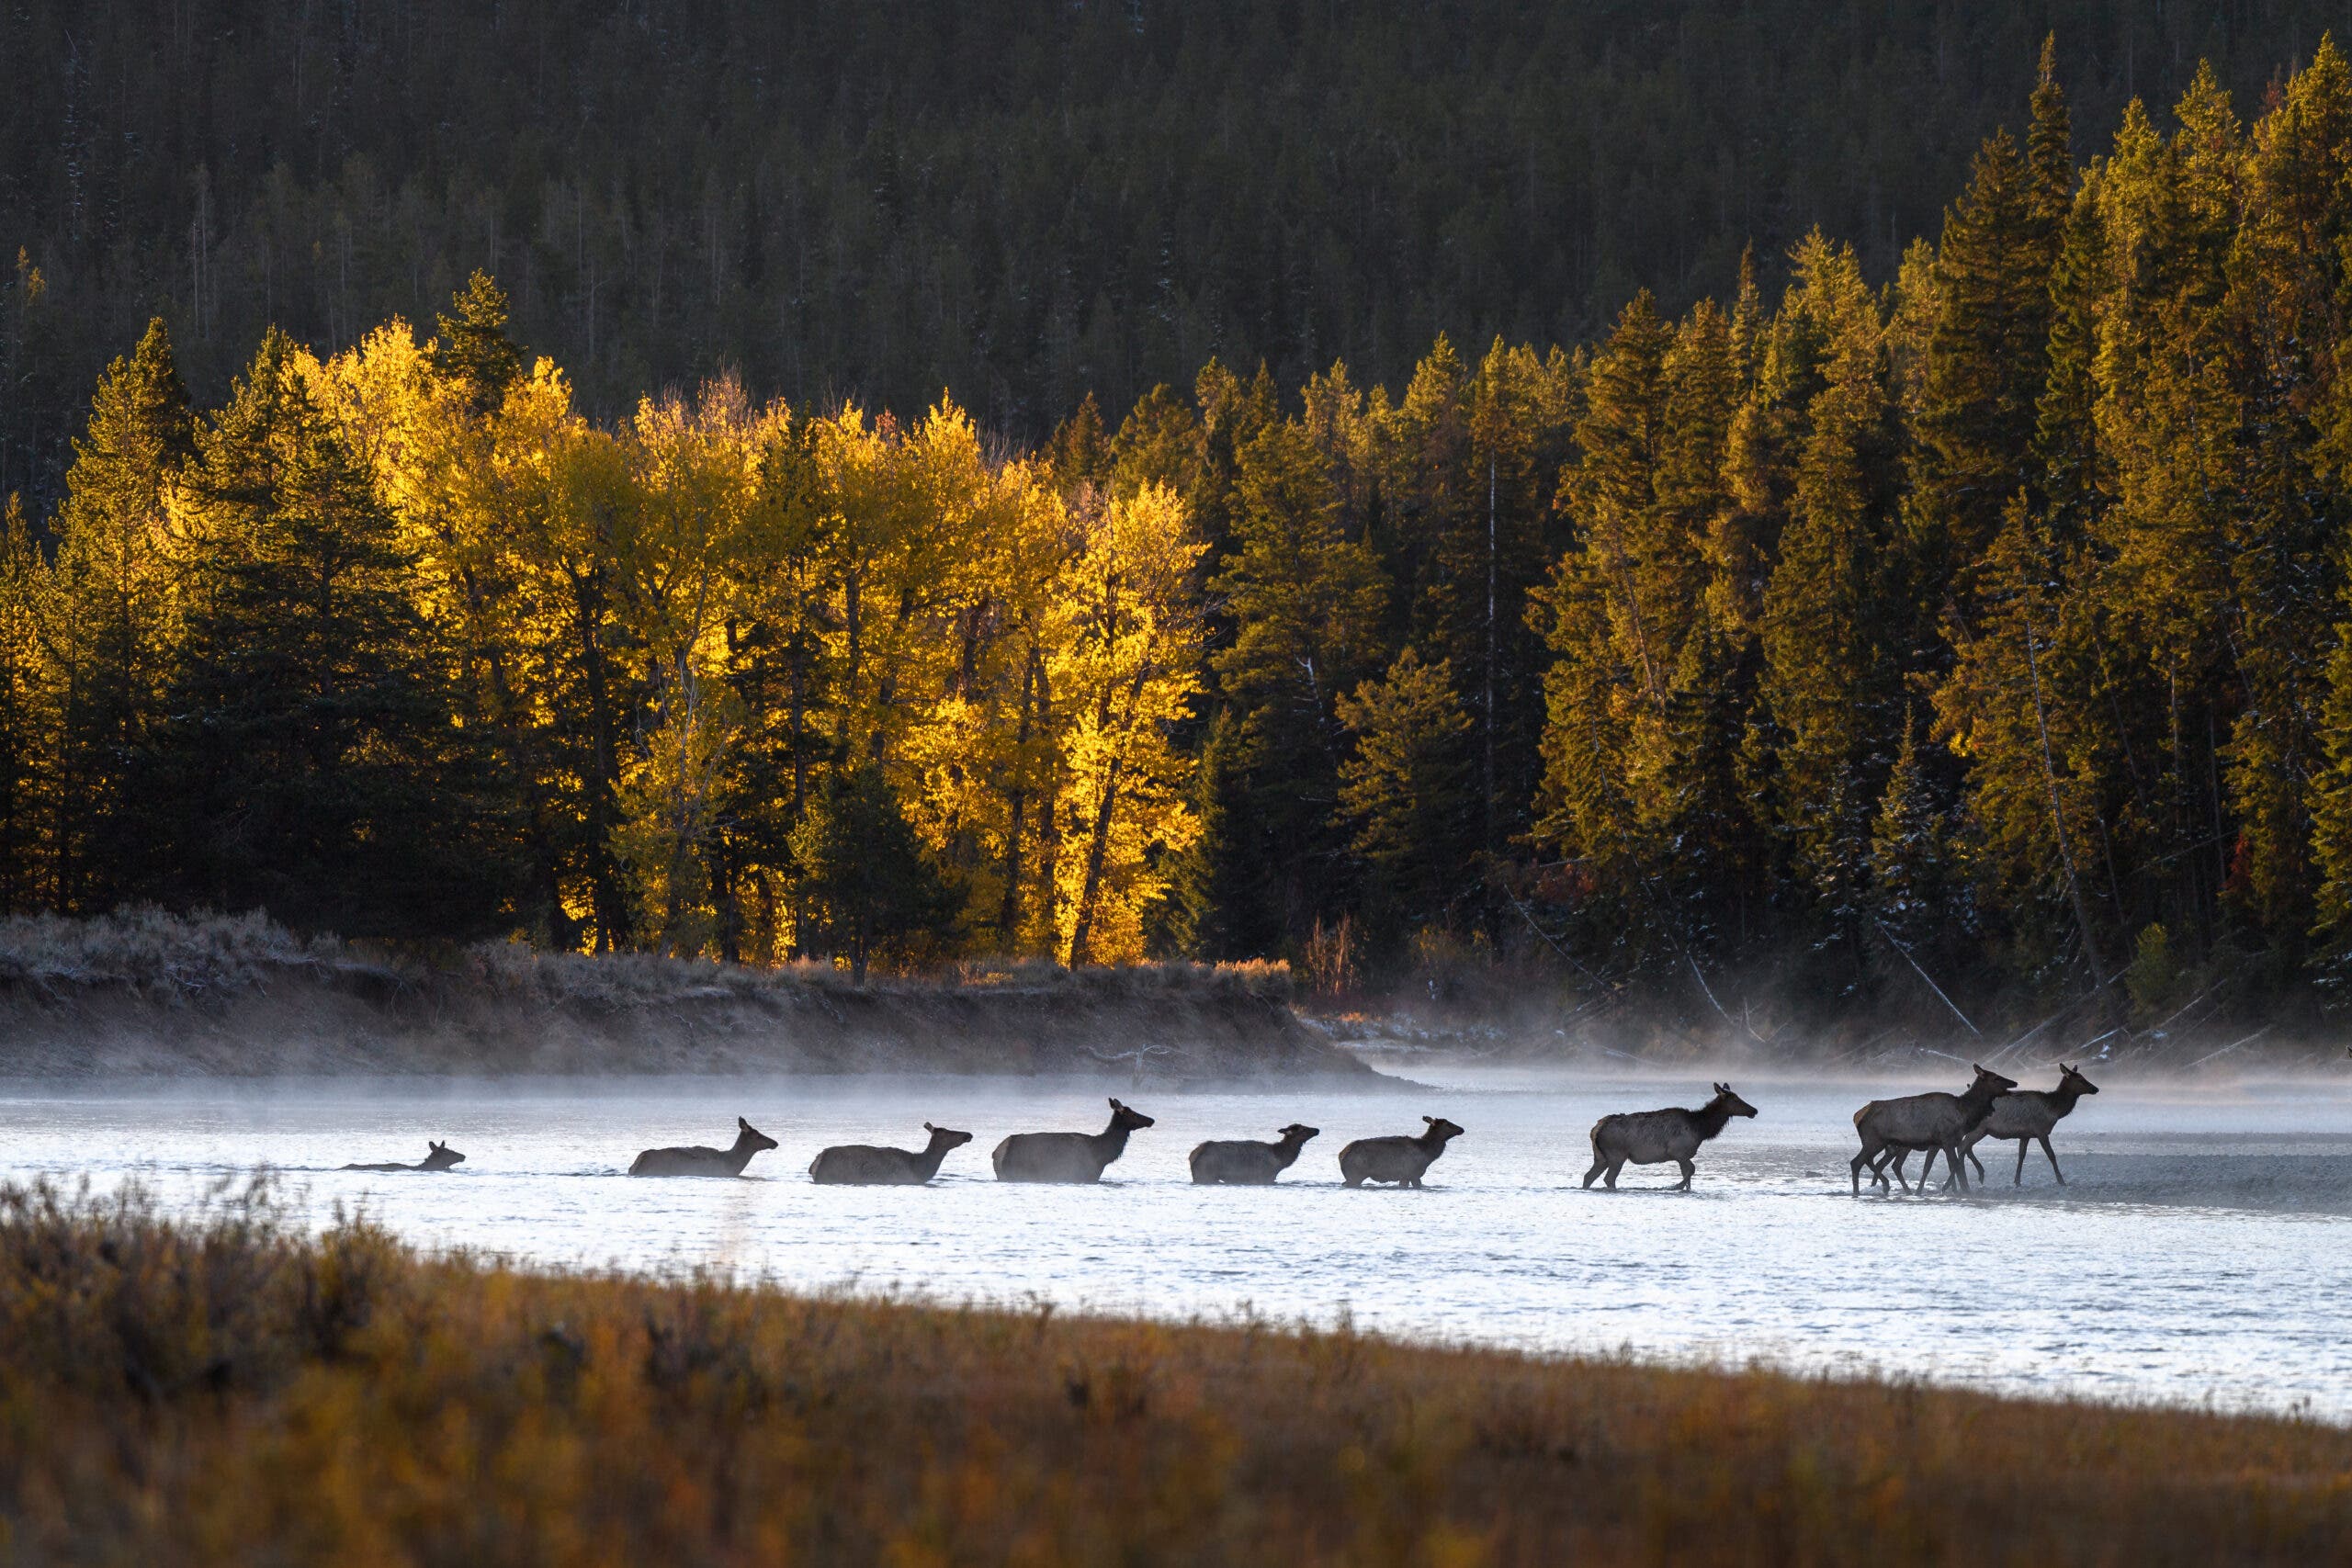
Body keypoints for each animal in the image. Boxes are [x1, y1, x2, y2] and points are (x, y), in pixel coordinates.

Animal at [991, 1099, 1154, 1183]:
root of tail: (996, 1153)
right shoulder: (1083, 1174)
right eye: (1133, 1114)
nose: (1151, 1120)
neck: (1101, 1155)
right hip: (1012, 1172)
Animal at [1189, 1123, 1320, 1185]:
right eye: (1303, 1129)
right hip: (1205, 1174)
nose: (1317, 1130)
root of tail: (1193, 1155)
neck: (1280, 1159)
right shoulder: (1265, 1176)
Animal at [1338, 1116, 1464, 1188]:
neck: (1428, 1154)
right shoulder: (1410, 1174)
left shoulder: (1409, 1176)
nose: (1462, 1129)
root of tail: (1341, 1155)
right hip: (1354, 1175)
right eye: (1447, 1124)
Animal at [1583, 1083, 1757, 1191]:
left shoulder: (1683, 1156)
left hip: (1601, 1157)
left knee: (1589, 1176)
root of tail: (1595, 1130)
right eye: (1735, 1099)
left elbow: (1688, 1175)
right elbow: (1691, 1170)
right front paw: (1675, 1186)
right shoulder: (1679, 1152)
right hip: (1617, 1155)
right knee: (1608, 1178)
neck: (1701, 1129)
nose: (1754, 1110)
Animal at [1849, 1064, 2016, 1195]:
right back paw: (1862, 1191)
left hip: (1881, 1143)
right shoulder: (1947, 1139)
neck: (1965, 1114)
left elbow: (1941, 1166)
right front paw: (1947, 1188)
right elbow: (1956, 1165)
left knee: (1870, 1161)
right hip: (1874, 1140)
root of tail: (1857, 1115)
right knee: (1857, 1162)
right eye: (1996, 1078)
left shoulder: (1940, 1142)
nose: (2014, 1082)